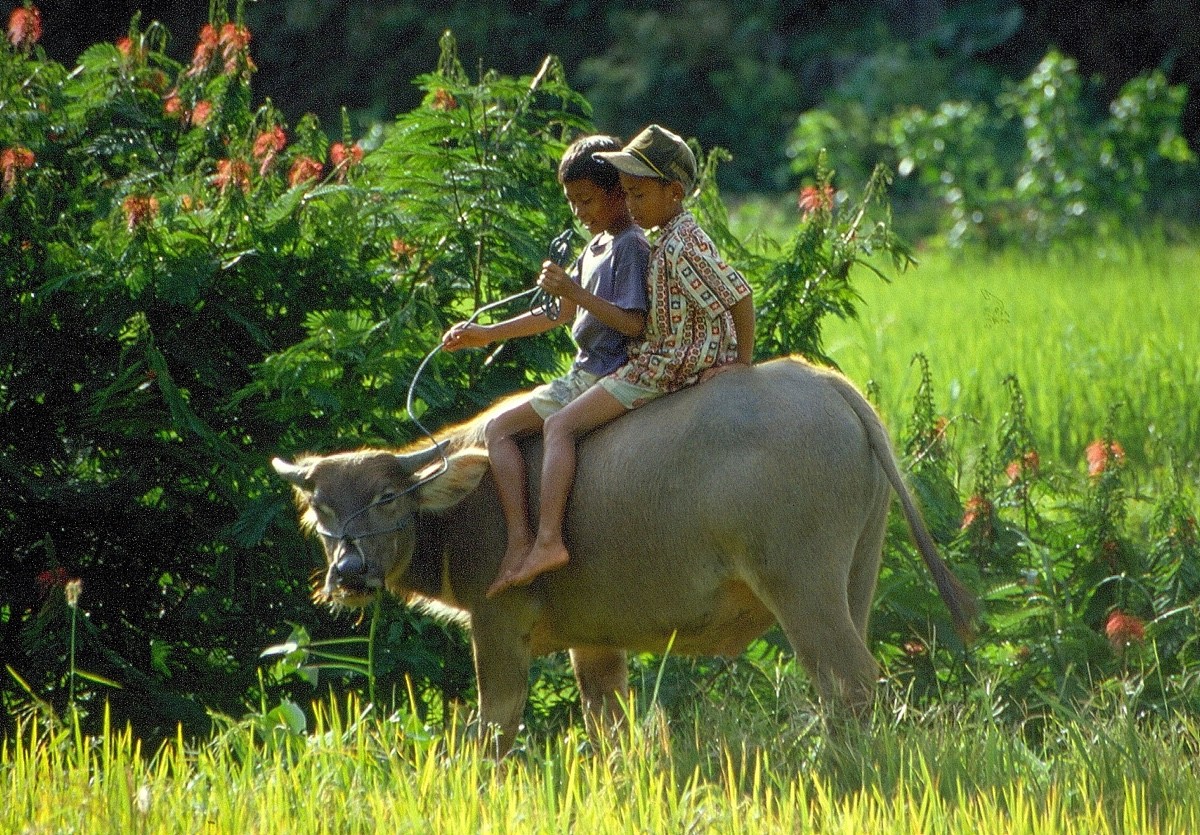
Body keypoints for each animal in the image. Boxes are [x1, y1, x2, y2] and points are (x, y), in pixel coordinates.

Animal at [272, 355, 974, 753]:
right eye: (322, 509)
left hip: (803, 586)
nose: (350, 571)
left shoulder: (497, 622)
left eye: (388, 497)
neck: (473, 503)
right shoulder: (594, 640)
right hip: (858, 573)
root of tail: (829, 386)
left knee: (848, 681)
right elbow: (607, 721)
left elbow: (494, 726)